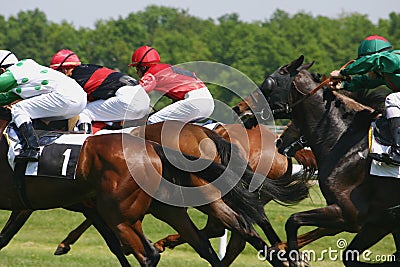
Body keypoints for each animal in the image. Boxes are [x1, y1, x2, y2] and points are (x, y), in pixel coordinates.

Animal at [239, 55, 400, 266]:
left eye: (267, 85)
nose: (240, 108)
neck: (344, 139)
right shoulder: (376, 222)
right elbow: (349, 256)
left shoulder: (348, 214)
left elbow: (292, 220)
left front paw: (295, 258)